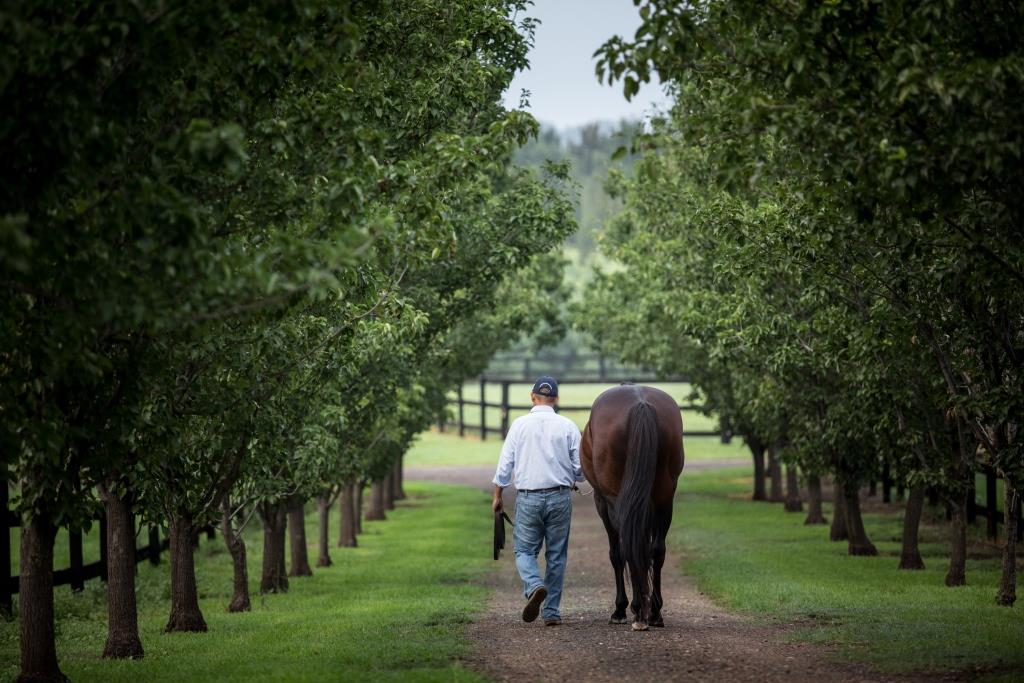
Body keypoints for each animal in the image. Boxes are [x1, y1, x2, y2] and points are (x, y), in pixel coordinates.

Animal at [581, 385, 684, 630]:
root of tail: (641, 403)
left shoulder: (603, 503)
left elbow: (616, 554)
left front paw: (620, 609)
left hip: (615, 503)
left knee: (628, 548)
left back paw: (637, 611)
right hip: (664, 500)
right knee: (656, 550)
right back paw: (654, 612)